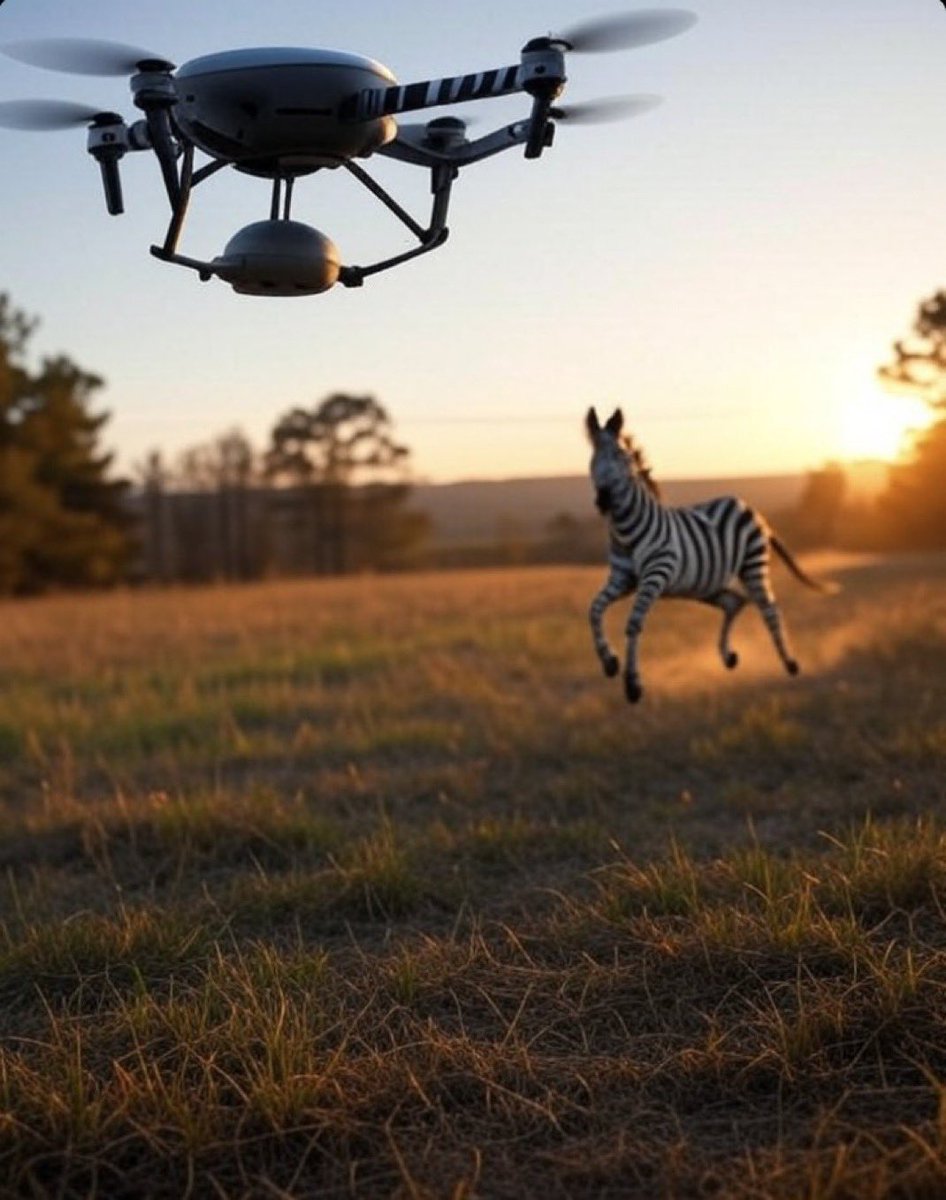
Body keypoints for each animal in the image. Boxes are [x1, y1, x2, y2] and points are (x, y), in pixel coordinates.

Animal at [585, 406, 835, 703]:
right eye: (593, 457)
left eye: (620, 457)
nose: (603, 501)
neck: (626, 534)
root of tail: (752, 510)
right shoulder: (622, 579)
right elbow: (594, 610)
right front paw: (609, 662)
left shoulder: (655, 575)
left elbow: (633, 623)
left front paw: (633, 685)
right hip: (706, 584)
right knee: (735, 602)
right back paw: (728, 656)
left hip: (752, 566)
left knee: (769, 609)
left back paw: (790, 664)